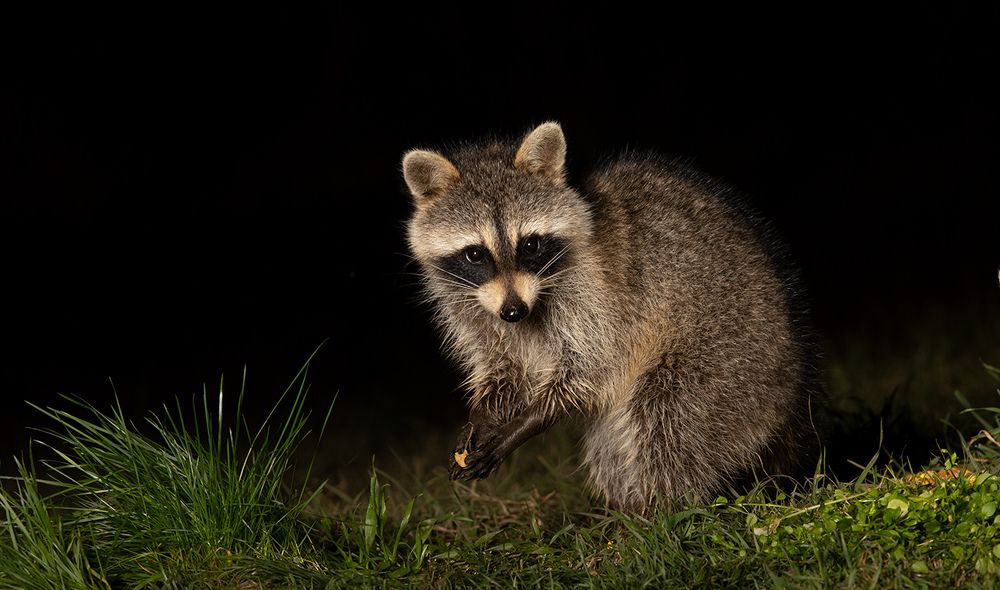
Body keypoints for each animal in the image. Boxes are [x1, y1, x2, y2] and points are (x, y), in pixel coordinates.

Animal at [402, 122, 820, 511]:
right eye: (475, 254)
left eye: (531, 244)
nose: (513, 311)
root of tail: (795, 389)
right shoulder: (471, 305)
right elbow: (502, 367)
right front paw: (483, 415)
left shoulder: (600, 298)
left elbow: (592, 370)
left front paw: (523, 425)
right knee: (613, 445)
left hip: (732, 358)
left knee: (668, 417)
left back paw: (664, 511)